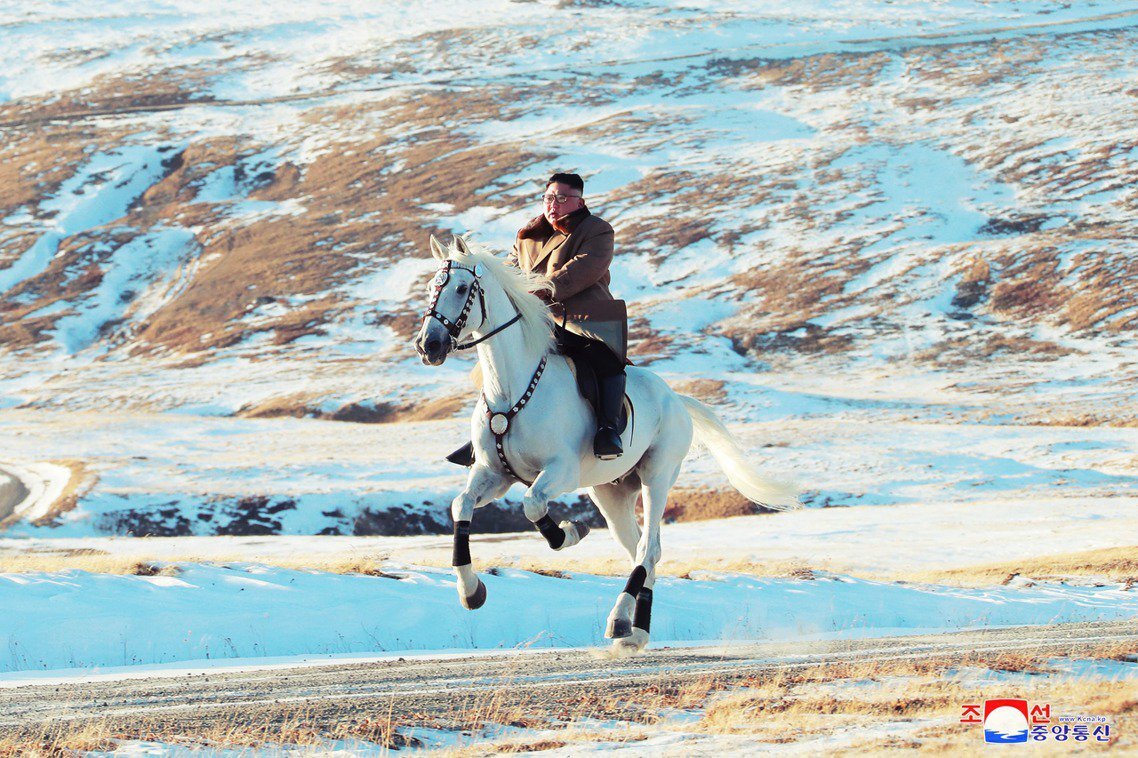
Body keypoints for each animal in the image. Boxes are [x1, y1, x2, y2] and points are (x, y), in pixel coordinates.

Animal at [414, 235, 798, 654]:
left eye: (461, 289)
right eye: (431, 288)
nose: (428, 345)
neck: (511, 388)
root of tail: (676, 398)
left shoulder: (560, 471)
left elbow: (533, 504)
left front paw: (569, 532)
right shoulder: (493, 474)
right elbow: (461, 505)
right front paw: (471, 590)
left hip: (656, 476)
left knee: (648, 549)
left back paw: (619, 621)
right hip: (610, 493)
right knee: (641, 551)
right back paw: (636, 631)